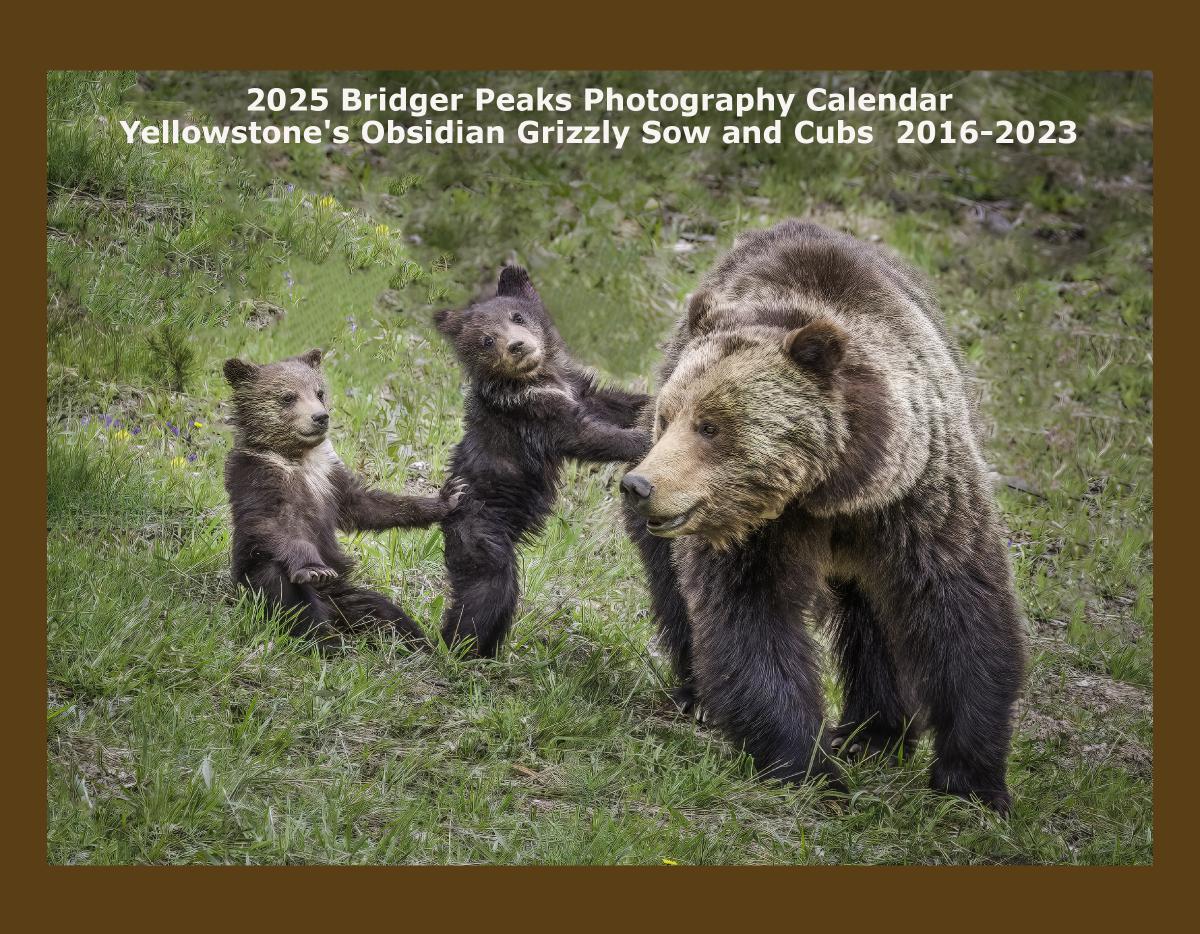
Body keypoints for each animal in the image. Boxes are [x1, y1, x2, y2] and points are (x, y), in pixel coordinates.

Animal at [624, 218, 1027, 806]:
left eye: (710, 425)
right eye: (669, 415)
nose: (640, 485)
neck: (827, 491)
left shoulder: (916, 499)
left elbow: (960, 611)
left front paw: (972, 779)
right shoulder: (757, 530)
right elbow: (753, 621)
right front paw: (808, 766)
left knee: (874, 614)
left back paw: (874, 733)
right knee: (675, 589)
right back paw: (700, 694)